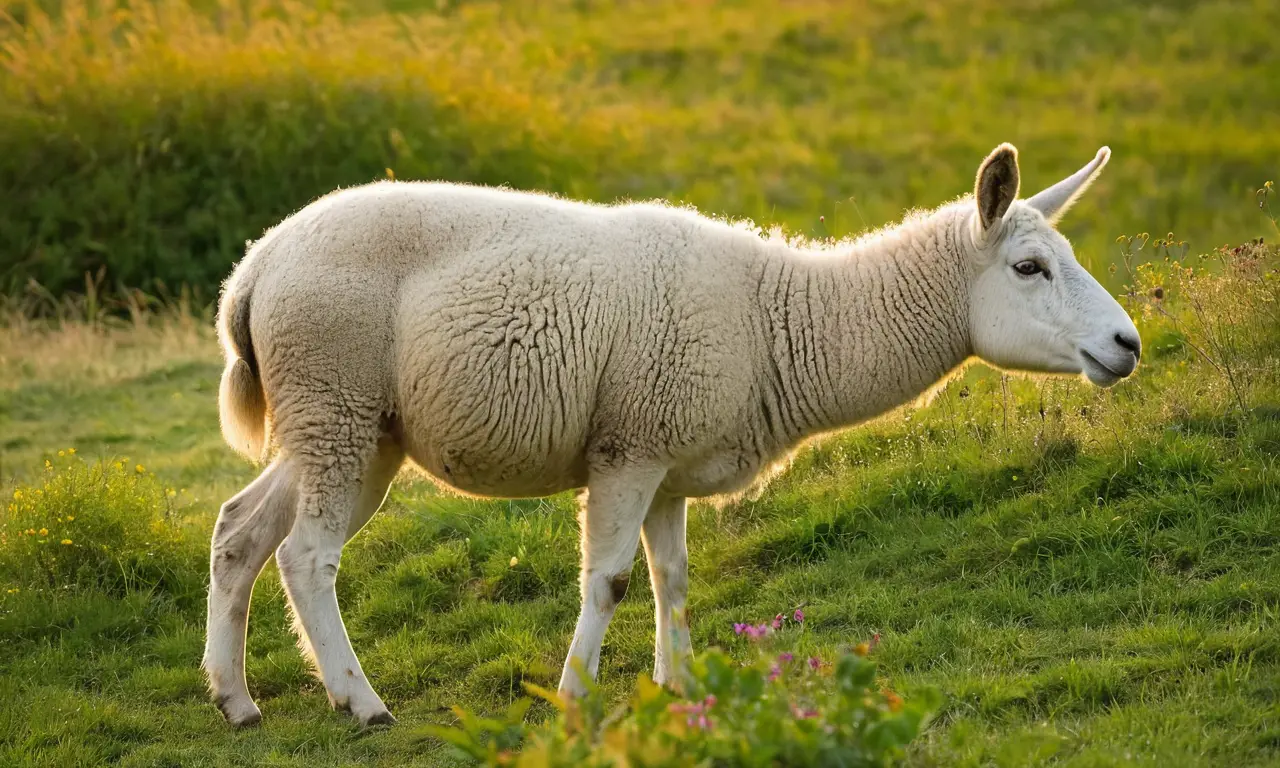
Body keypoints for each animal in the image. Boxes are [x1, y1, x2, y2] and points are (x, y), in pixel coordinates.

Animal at [202, 143, 1140, 727]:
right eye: (1028, 268)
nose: (1128, 344)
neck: (779, 322)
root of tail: (253, 267)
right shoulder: (631, 447)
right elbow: (610, 582)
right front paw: (574, 696)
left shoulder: (671, 463)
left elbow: (674, 579)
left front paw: (680, 686)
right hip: (334, 398)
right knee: (307, 557)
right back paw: (359, 701)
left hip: (346, 427)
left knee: (240, 530)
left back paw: (235, 699)